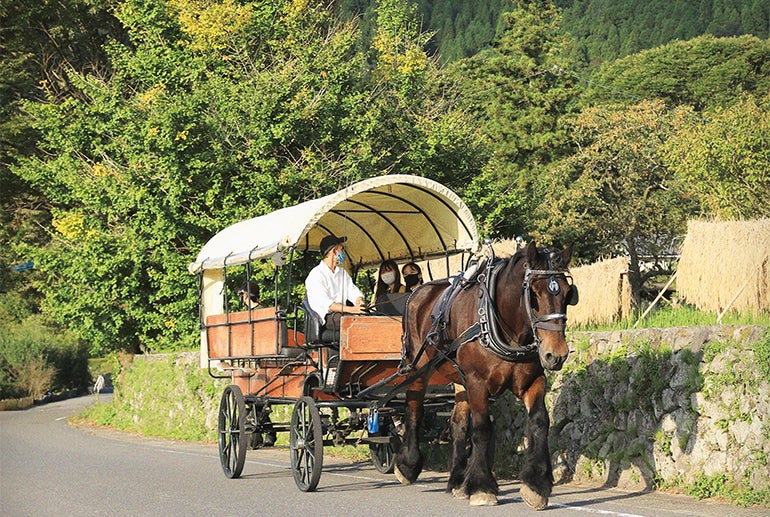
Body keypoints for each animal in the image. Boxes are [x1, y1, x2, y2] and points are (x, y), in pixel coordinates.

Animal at [390, 242, 576, 508]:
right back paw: (408, 465)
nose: (556, 354)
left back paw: (457, 480)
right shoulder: (477, 381)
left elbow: (540, 421)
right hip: (418, 366)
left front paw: (536, 484)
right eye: (534, 294)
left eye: (568, 294)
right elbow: (481, 428)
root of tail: (418, 291)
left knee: (457, 424)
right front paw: (481, 486)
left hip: (459, 378)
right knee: (414, 409)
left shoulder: (532, 381)